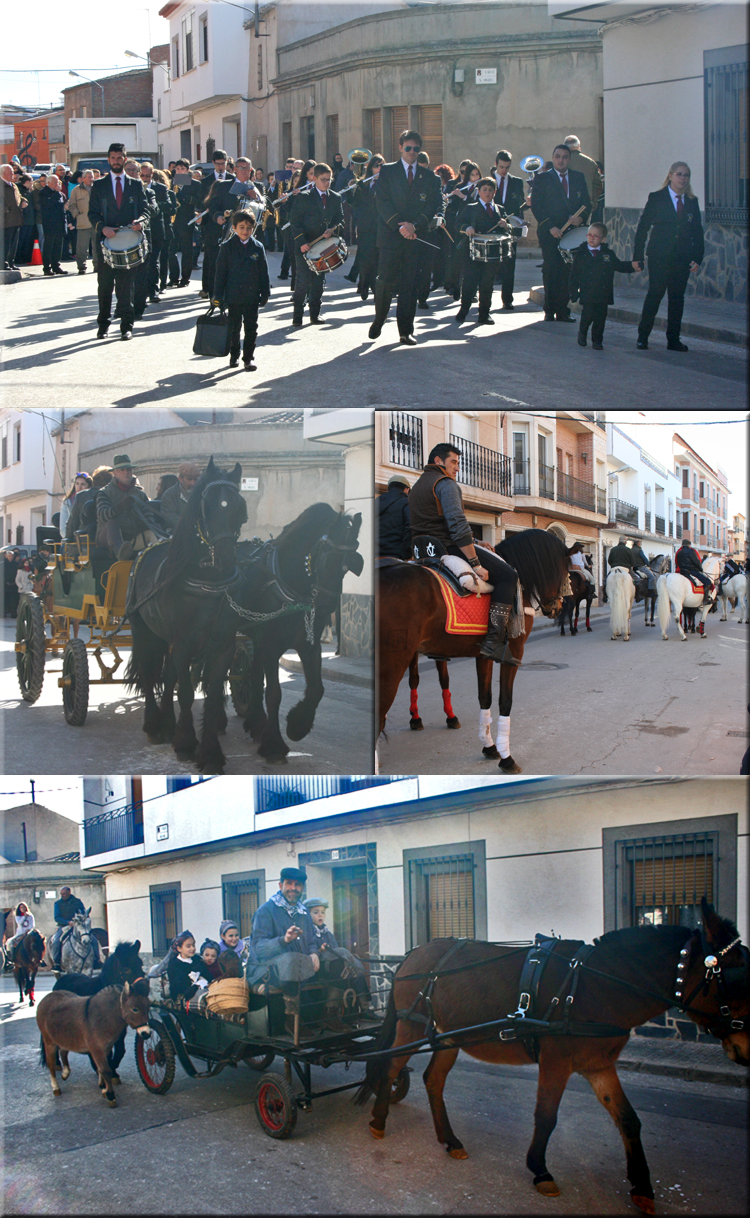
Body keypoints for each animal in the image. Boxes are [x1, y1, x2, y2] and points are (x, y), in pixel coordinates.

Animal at [53, 935, 144, 1081]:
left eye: (141, 964)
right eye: (125, 969)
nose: (143, 990)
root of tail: (61, 979)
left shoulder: (120, 1029)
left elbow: (120, 1050)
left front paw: (112, 1071)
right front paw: (108, 1071)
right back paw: (56, 1063)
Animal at [124, 457, 249, 769]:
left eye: (239, 507)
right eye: (207, 504)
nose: (226, 558)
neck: (210, 580)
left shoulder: (224, 645)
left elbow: (212, 692)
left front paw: (211, 752)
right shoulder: (184, 642)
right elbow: (187, 691)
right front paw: (186, 743)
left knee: (167, 675)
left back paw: (168, 724)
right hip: (143, 632)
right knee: (149, 673)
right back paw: (154, 726)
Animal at [232, 504, 365, 760]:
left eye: (350, 564)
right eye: (328, 556)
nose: (327, 606)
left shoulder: (308, 643)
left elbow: (317, 689)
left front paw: (297, 725)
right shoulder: (271, 645)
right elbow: (274, 692)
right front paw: (274, 745)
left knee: (252, 675)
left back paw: (255, 722)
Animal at [355, 901, 750, 1213]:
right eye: (735, 977)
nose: (746, 1047)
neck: (600, 984)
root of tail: (413, 954)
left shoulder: (598, 1065)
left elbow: (628, 1120)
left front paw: (641, 1186)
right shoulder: (556, 1061)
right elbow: (546, 1116)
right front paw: (540, 1170)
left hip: (450, 1037)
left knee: (433, 1080)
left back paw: (450, 1140)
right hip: (412, 1028)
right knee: (389, 1066)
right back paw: (378, 1120)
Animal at [377, 528, 564, 774]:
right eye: (563, 569)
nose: (558, 606)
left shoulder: (483, 655)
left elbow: (484, 697)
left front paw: (489, 747)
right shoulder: (514, 653)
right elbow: (505, 701)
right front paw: (506, 757)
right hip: (392, 667)